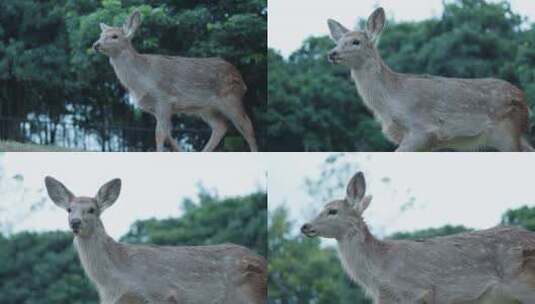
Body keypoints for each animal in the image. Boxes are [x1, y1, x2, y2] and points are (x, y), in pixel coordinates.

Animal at [92, 10, 260, 152]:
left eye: (114, 36)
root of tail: (241, 79)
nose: (96, 45)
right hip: (206, 108)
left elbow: (159, 134)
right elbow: (167, 133)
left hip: (230, 97)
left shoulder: (163, 99)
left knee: (247, 125)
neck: (141, 81)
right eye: (101, 34)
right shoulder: (157, 109)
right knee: (221, 126)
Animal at [328, 7, 532, 152]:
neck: (391, 103)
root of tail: (524, 100)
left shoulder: (423, 129)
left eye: (356, 42)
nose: (332, 53)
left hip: (507, 131)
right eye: (337, 42)